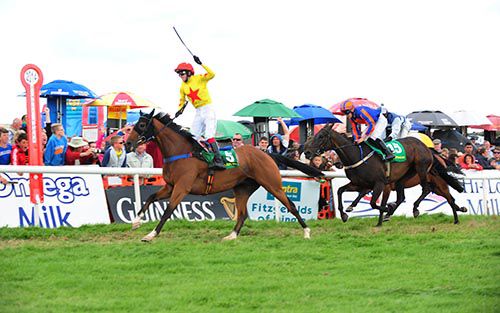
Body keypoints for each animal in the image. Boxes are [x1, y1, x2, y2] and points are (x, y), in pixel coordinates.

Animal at [125, 109, 324, 241]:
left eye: (141, 125)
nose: (127, 144)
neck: (181, 152)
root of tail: (266, 153)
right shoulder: (170, 186)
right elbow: (150, 197)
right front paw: (136, 221)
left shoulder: (182, 187)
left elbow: (168, 210)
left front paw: (151, 234)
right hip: (242, 188)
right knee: (242, 214)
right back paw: (231, 235)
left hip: (272, 184)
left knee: (291, 205)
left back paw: (307, 232)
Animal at [302, 123, 436, 225]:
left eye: (321, 136)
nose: (307, 152)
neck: (356, 156)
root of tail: (427, 146)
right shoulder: (358, 183)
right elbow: (340, 190)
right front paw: (344, 214)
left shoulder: (379, 183)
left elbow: (373, 203)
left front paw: (387, 208)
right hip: (402, 178)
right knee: (401, 197)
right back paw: (390, 213)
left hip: (421, 169)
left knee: (426, 189)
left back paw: (414, 209)